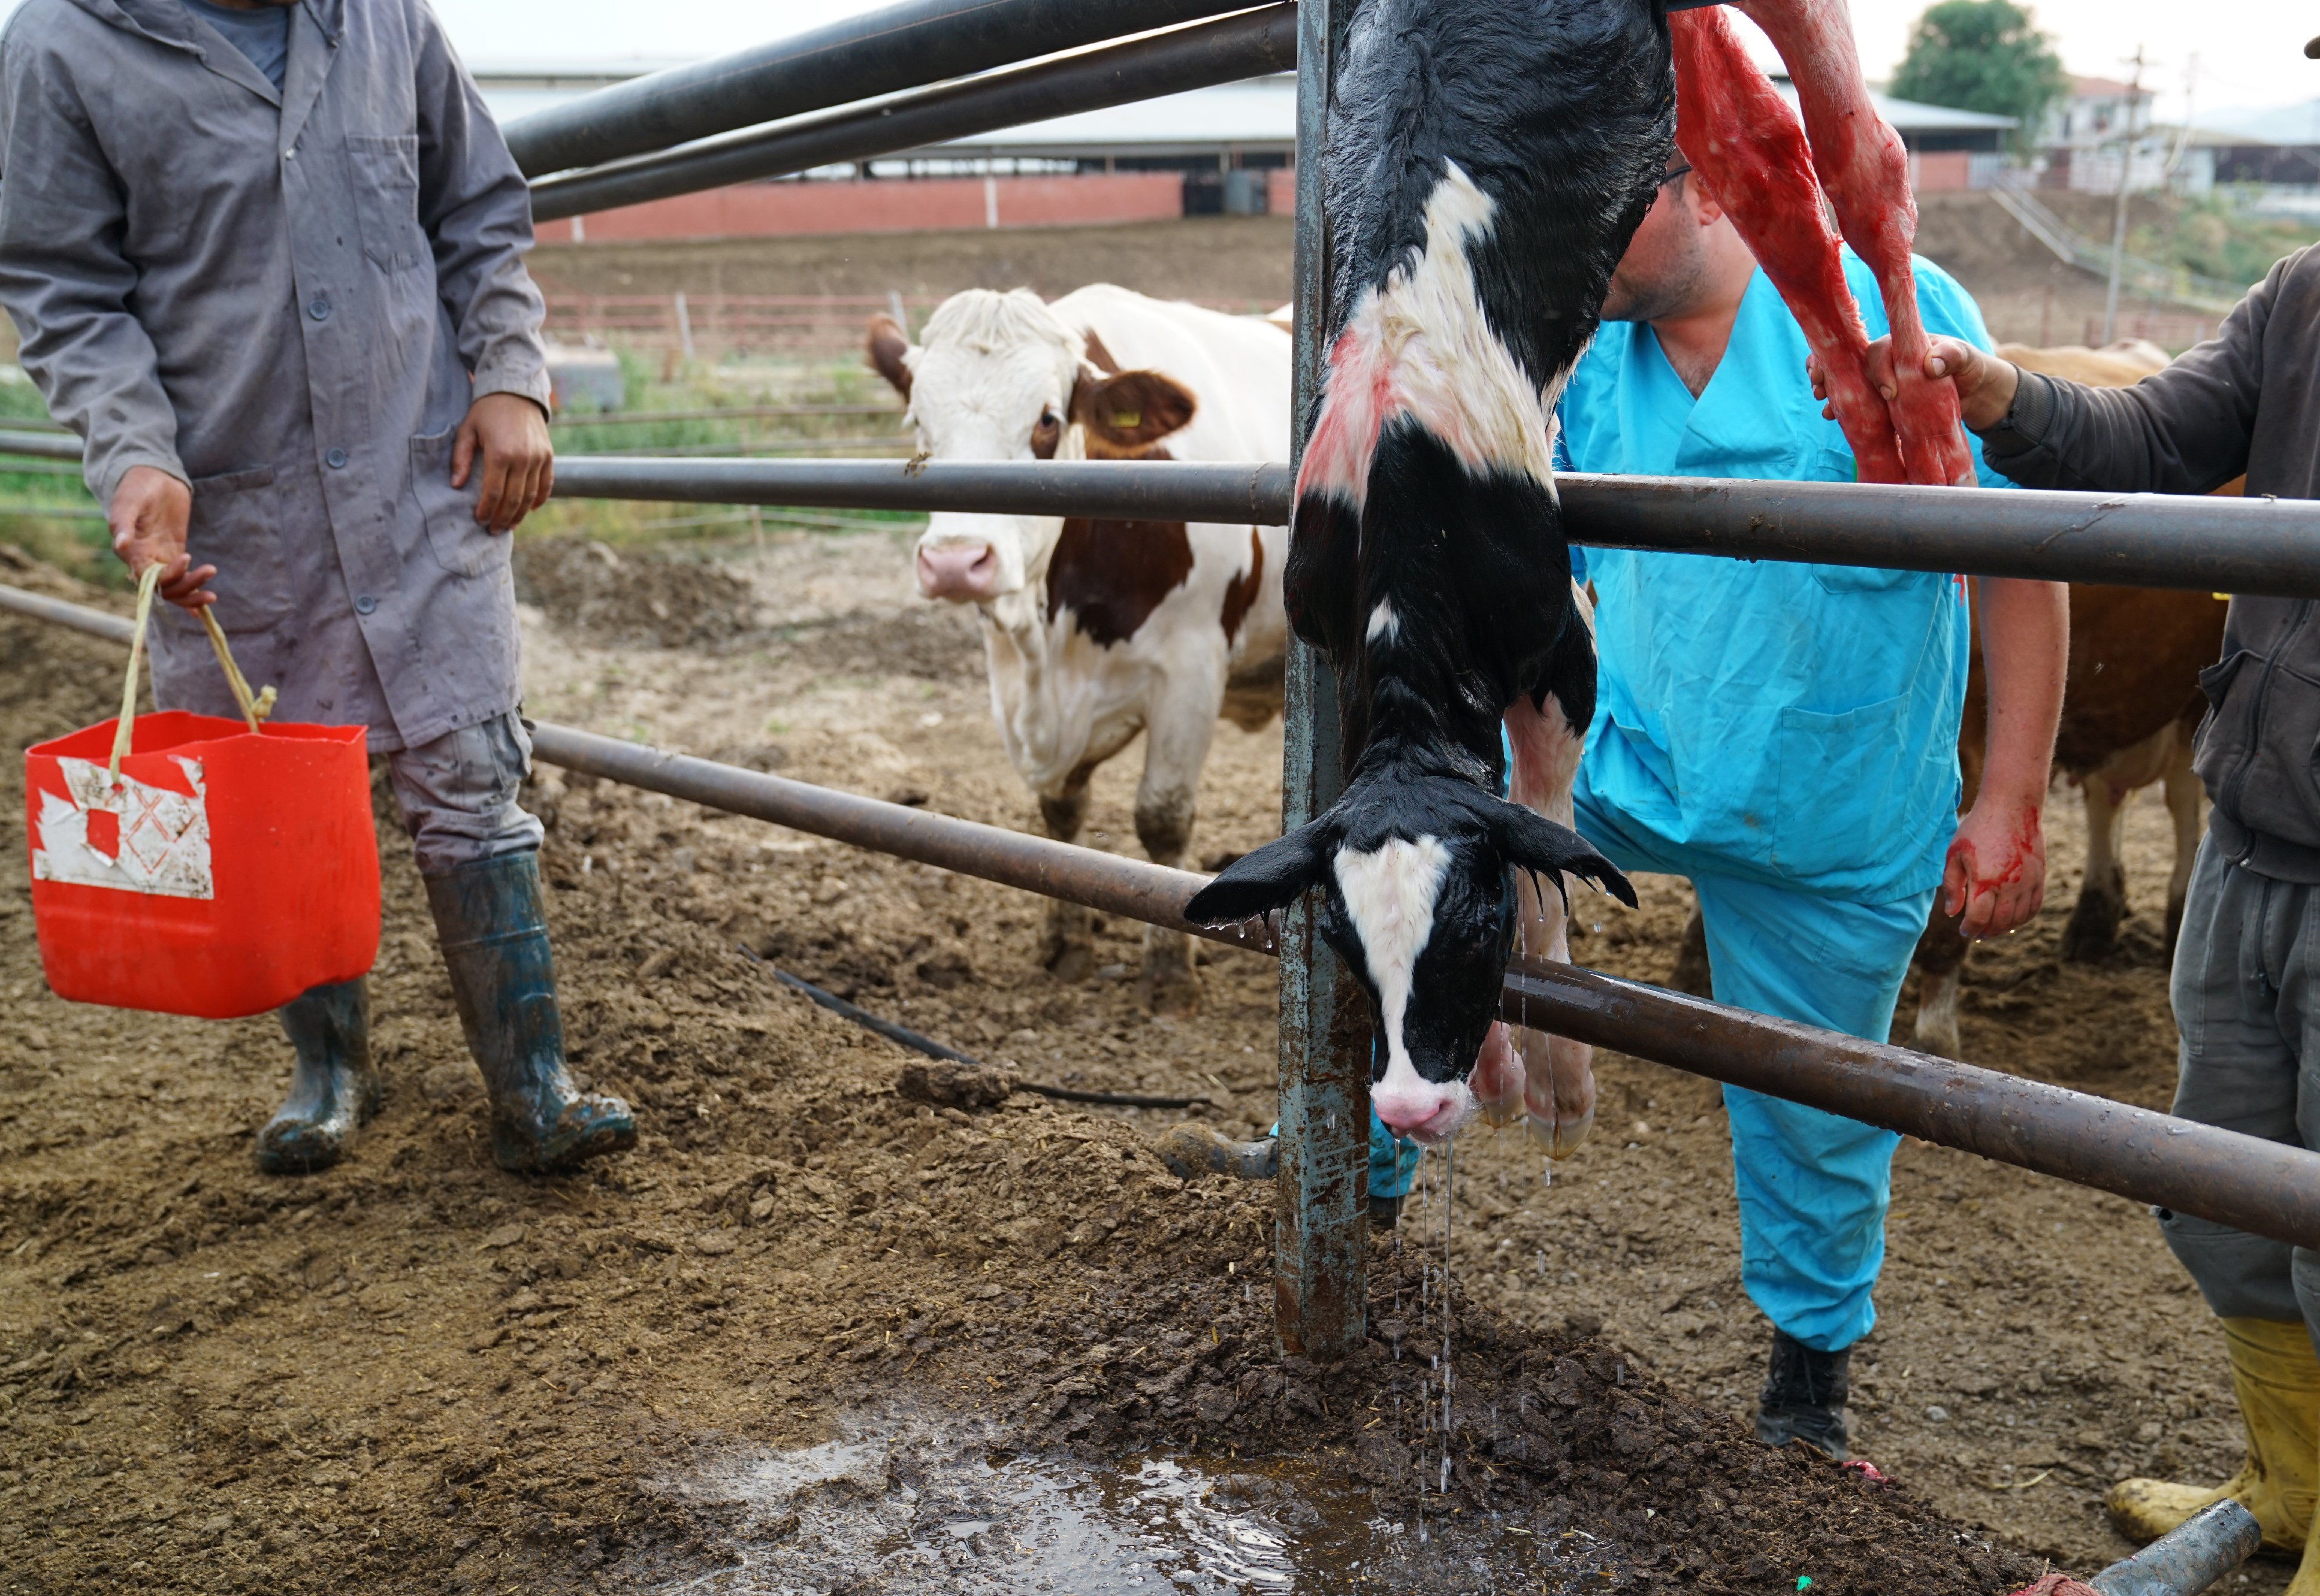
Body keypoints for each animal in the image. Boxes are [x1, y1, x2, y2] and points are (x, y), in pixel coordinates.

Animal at [868, 286, 1290, 1011]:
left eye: (1046, 420)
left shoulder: (1191, 668)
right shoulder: (1010, 674)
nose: (955, 562)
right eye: (918, 419)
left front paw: (1168, 971)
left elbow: (1162, 818)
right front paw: (1066, 944)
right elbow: (1059, 811)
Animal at [1179, 0, 1670, 1146]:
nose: (1406, 1104)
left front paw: (1560, 1083)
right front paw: (1497, 1072)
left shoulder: (1562, 646)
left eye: (1474, 928)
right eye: (1339, 937)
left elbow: (1544, 833)